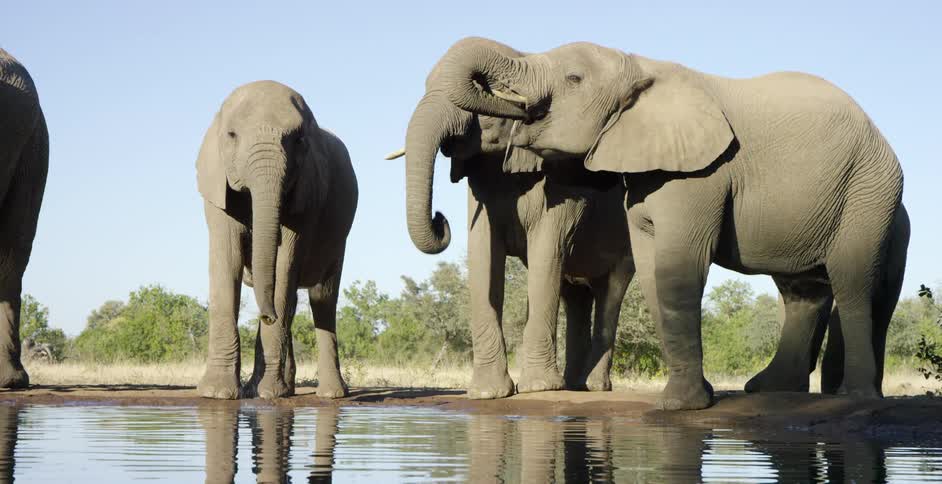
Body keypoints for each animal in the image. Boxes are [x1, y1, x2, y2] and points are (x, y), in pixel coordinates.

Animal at [195, 80, 358, 399]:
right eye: (231, 135)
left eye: (299, 140)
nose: (265, 317)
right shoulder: (217, 188)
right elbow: (226, 264)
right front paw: (217, 393)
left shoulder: (307, 194)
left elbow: (283, 267)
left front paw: (268, 393)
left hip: (339, 238)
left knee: (322, 299)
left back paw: (329, 394)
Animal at [389, 37, 634, 398]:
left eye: (482, 86)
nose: (439, 219)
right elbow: (483, 256)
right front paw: (487, 393)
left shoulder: (559, 187)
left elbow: (546, 253)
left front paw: (539, 389)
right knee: (575, 295)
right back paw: (574, 385)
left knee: (610, 292)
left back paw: (594, 386)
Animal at [433, 38, 905, 410]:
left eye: (574, 79)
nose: (498, 110)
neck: (642, 67)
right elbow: (651, 269)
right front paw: (699, 398)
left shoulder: (701, 175)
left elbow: (679, 266)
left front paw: (680, 407)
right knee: (803, 289)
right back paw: (775, 391)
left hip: (869, 189)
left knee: (852, 281)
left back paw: (856, 397)